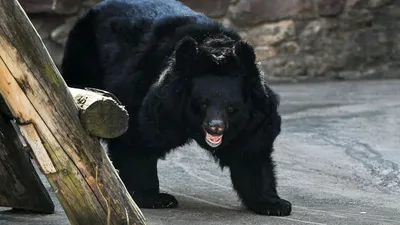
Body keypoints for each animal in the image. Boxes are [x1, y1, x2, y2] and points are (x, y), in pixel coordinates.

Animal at [61, 0, 290, 216]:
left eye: (231, 108)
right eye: (203, 104)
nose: (216, 127)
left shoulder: (255, 117)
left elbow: (251, 151)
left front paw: (276, 204)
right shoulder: (153, 98)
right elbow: (138, 138)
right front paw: (156, 198)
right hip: (85, 59)